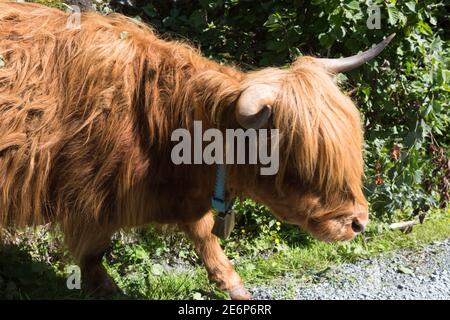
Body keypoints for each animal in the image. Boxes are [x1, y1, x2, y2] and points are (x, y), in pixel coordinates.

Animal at [0, 1, 394, 298]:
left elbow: (204, 236)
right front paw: (106, 288)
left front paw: (233, 284)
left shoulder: (183, 199)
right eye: (302, 163)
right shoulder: (90, 197)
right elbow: (94, 253)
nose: (359, 222)